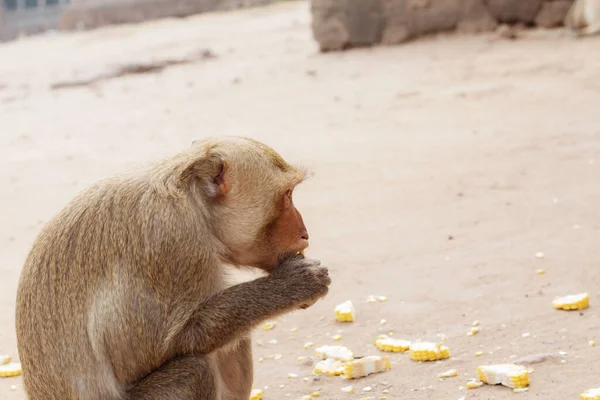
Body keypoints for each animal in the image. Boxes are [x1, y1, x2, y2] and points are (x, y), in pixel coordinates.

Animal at [14, 136, 330, 398]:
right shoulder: (169, 244)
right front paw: (293, 285)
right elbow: (149, 353)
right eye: (287, 195)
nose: (304, 234)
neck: (192, 202)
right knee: (195, 371)